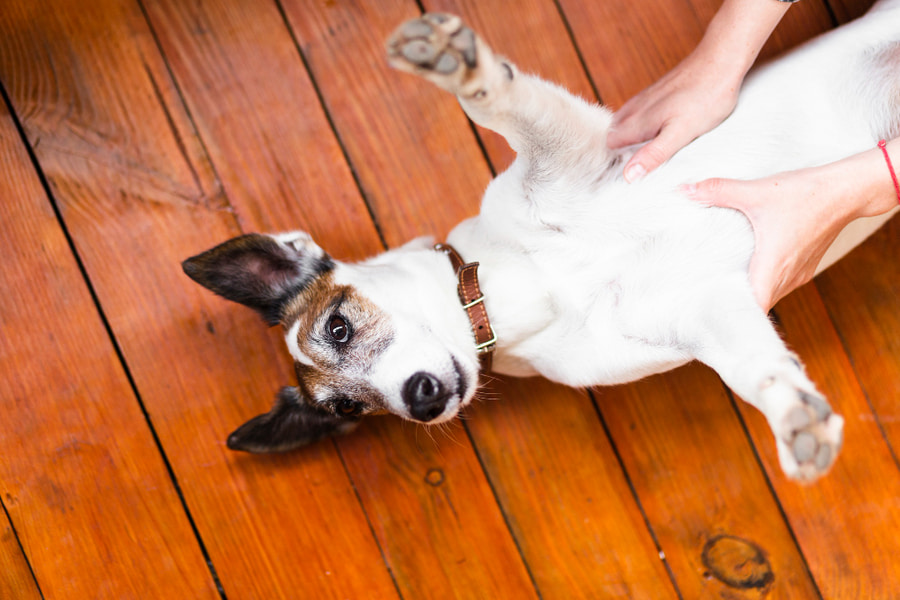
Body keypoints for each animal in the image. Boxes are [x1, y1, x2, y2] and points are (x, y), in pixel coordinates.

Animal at [183, 3, 900, 482]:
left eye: (337, 326)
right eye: (350, 408)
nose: (422, 399)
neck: (535, 286)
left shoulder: (578, 147)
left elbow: (492, 104)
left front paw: (457, 66)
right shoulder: (700, 306)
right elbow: (755, 369)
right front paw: (795, 417)